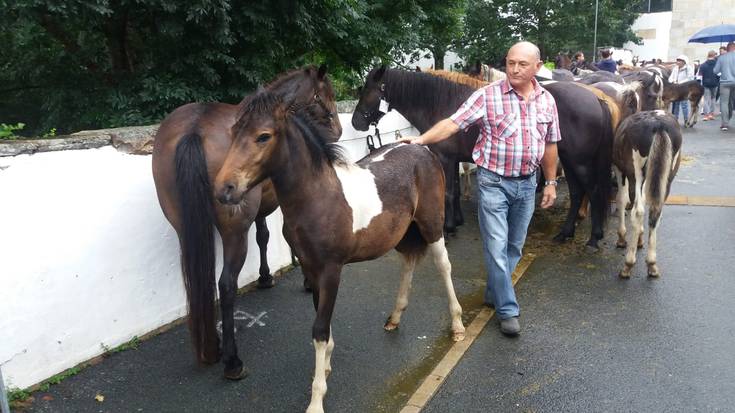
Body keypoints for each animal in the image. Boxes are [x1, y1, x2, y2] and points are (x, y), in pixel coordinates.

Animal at [152, 65, 344, 380]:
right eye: (325, 94)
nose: (338, 130)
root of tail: (194, 127)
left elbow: (264, 236)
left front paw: (266, 276)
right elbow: (283, 236)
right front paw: (304, 278)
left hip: (183, 228)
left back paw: (210, 347)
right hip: (234, 230)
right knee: (226, 284)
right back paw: (232, 360)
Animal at [214, 90, 466, 412]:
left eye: (263, 136)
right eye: (234, 132)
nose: (224, 189)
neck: (318, 196)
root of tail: (422, 149)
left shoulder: (331, 269)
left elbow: (320, 329)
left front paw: (316, 399)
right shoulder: (310, 267)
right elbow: (320, 321)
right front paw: (326, 366)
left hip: (432, 225)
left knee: (443, 265)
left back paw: (457, 325)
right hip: (403, 233)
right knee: (409, 262)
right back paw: (394, 318)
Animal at [608, 109, 684, 276]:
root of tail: (659, 125)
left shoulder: (619, 170)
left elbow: (621, 199)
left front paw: (623, 238)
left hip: (636, 174)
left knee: (637, 211)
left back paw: (628, 264)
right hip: (666, 177)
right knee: (656, 211)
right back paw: (652, 264)